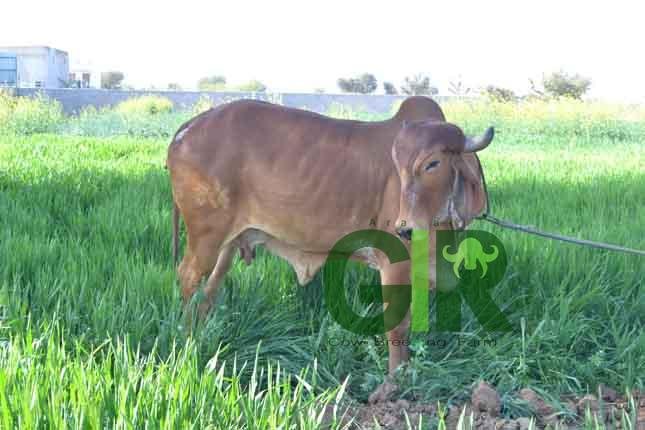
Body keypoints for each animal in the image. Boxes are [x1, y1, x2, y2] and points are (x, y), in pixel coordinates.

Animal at [166, 96, 494, 402]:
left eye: (433, 163)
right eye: (399, 167)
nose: (405, 228)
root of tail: (187, 128)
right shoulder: (395, 264)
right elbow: (398, 326)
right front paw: (390, 387)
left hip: (229, 244)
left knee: (209, 292)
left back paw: (200, 336)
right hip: (206, 235)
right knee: (188, 278)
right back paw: (186, 340)